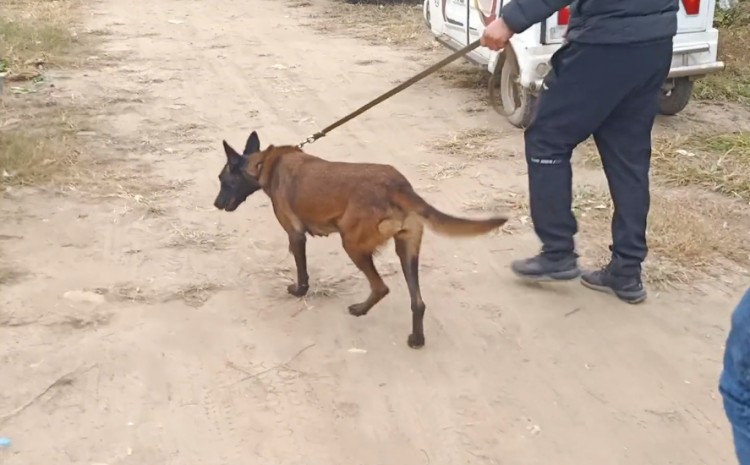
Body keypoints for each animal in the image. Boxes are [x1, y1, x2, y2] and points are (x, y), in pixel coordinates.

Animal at [217, 131, 512, 348]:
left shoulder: (295, 235)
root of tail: (398, 186)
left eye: (222, 179)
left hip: (352, 245)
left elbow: (302, 271)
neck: (263, 164)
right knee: (417, 302)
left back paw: (360, 310)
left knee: (381, 287)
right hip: (407, 250)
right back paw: (416, 339)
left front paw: (299, 291)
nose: (215, 204)